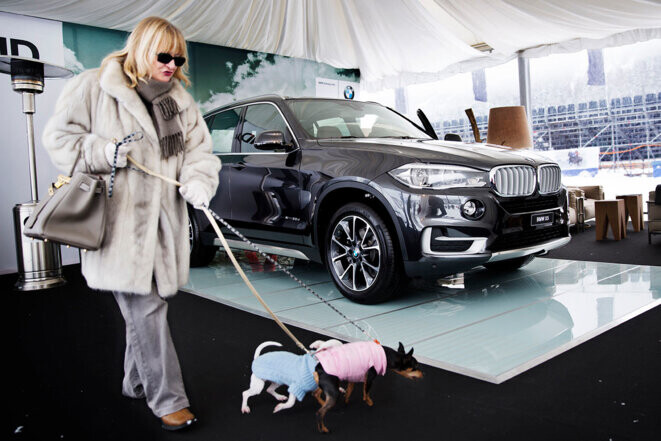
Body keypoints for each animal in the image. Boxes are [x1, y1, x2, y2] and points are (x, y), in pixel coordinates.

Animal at [242, 338, 422, 432]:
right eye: (415, 366)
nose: (424, 374)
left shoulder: (351, 377)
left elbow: (349, 391)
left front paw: (347, 400)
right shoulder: (369, 377)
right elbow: (366, 393)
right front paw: (369, 402)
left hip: (275, 382)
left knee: (274, 390)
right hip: (260, 384)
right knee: (247, 393)